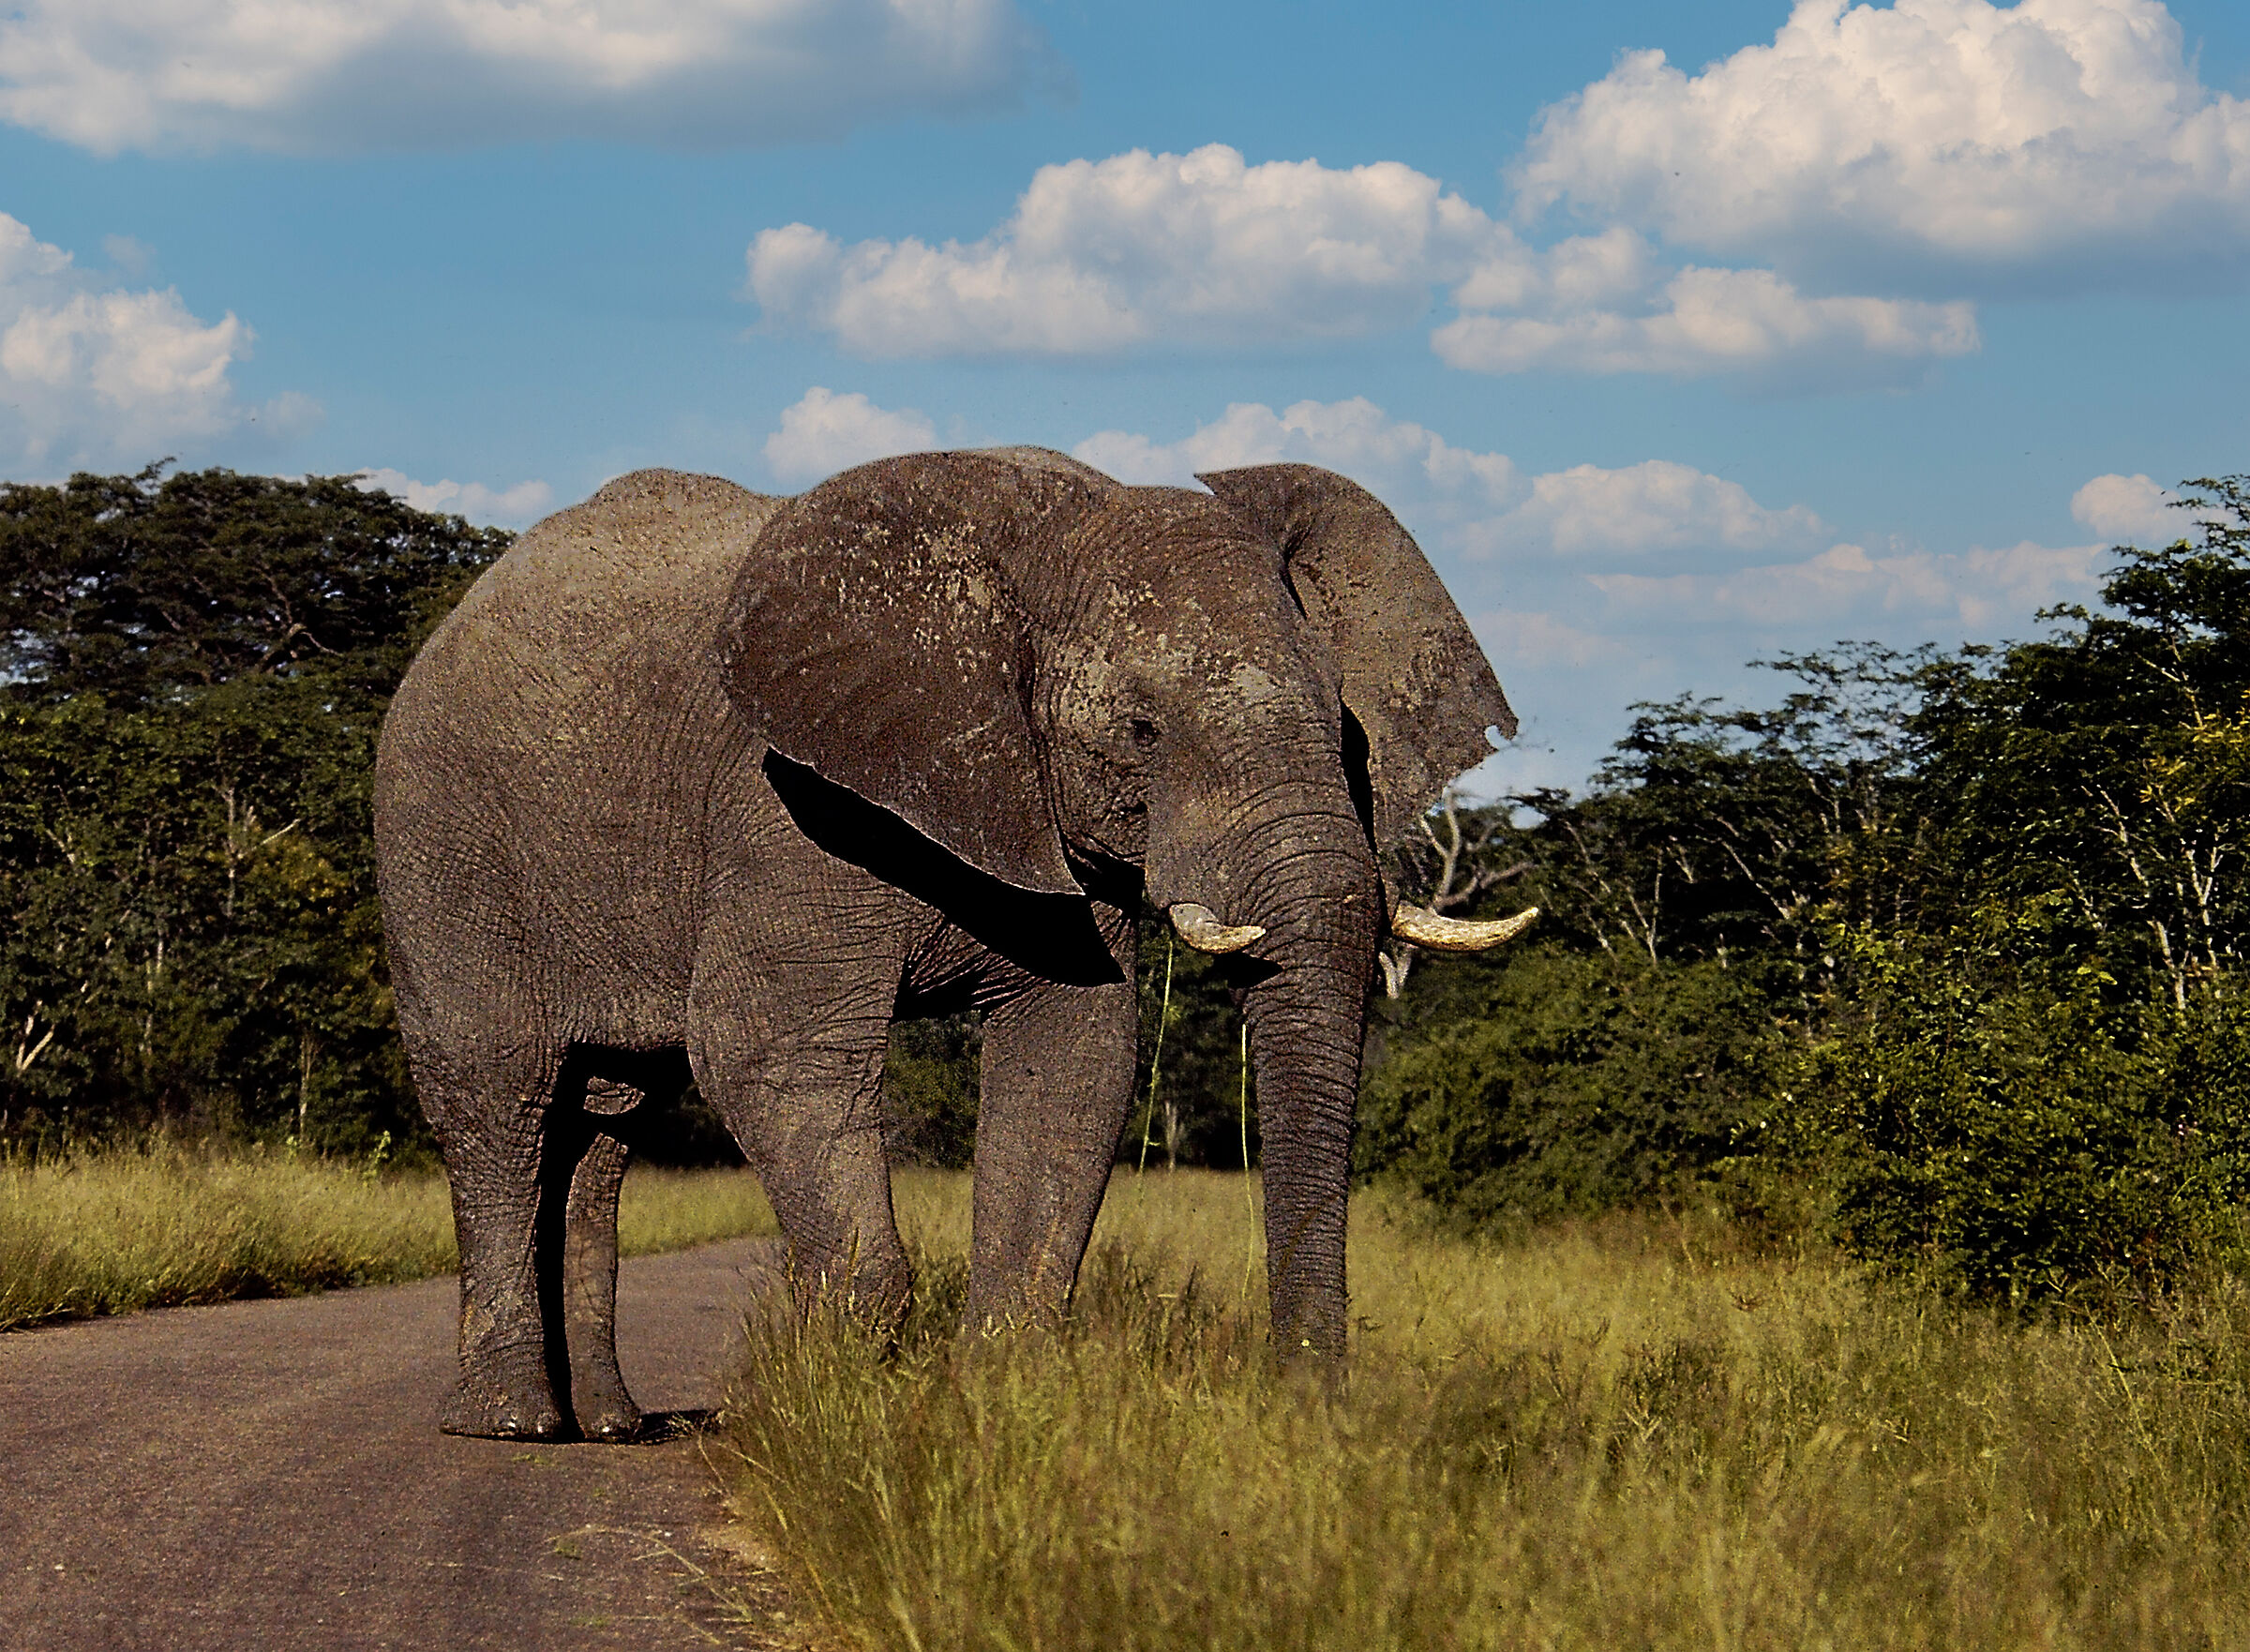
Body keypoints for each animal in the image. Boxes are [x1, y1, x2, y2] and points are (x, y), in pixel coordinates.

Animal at [372, 447, 1531, 1442]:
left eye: (1349, 735)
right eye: (1142, 730)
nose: (1308, 1408)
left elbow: (1076, 1052)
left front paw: (1001, 1397)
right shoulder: (783, 804)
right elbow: (767, 1047)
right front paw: (831, 1395)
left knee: (607, 1118)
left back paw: (608, 1424)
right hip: (439, 838)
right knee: (502, 1092)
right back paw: (510, 1422)